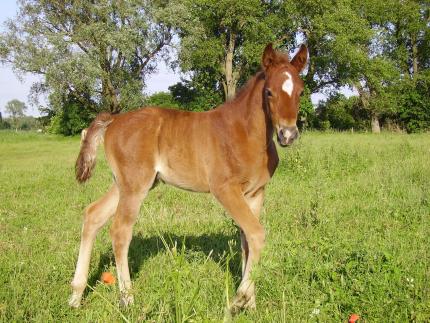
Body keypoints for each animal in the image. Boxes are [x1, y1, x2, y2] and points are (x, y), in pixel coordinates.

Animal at [69, 43, 308, 314]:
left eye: (300, 91)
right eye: (269, 92)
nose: (288, 134)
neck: (246, 134)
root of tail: (115, 119)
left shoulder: (256, 192)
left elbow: (247, 240)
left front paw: (251, 304)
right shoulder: (225, 189)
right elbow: (257, 234)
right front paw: (238, 300)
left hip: (126, 183)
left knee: (93, 215)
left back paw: (76, 295)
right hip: (135, 185)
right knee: (120, 230)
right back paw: (127, 299)